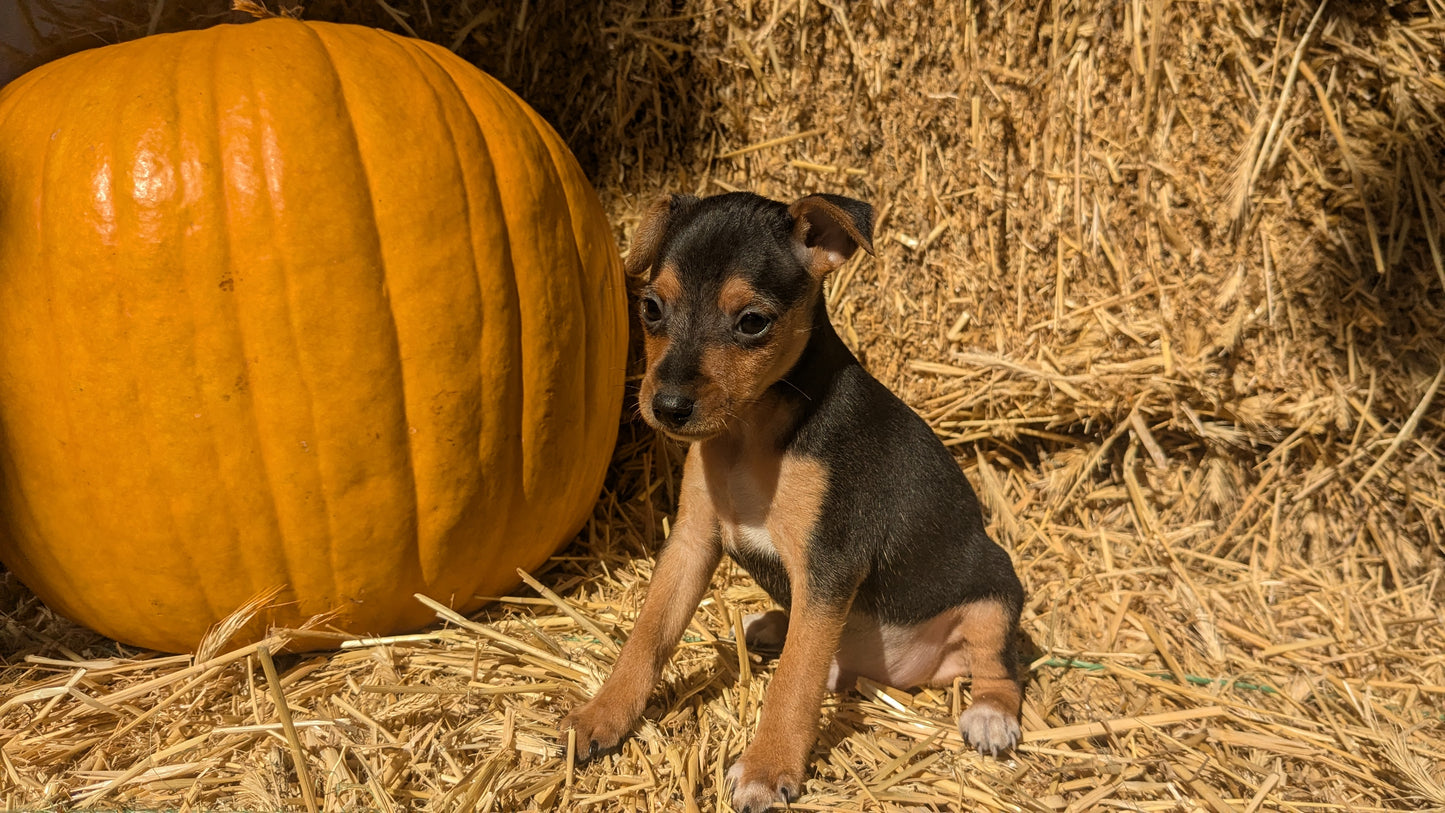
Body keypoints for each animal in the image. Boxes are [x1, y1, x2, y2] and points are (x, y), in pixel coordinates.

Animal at [557, 192, 1023, 813]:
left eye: (753, 322)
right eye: (651, 308)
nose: (668, 406)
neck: (751, 434)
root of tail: (900, 673)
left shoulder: (829, 566)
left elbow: (794, 682)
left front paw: (767, 766)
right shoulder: (691, 543)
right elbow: (647, 637)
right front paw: (603, 715)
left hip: (995, 589)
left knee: (997, 663)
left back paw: (991, 714)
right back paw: (770, 625)